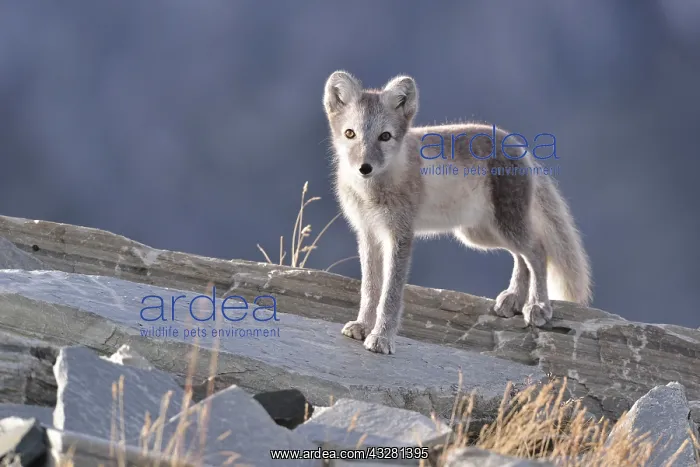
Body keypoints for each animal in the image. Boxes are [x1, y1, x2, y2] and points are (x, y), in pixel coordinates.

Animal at [322, 70, 592, 355]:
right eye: (350, 133)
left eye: (385, 136)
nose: (365, 168)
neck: (370, 193)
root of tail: (519, 145)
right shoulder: (368, 233)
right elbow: (370, 288)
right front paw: (362, 326)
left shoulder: (401, 235)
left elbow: (390, 294)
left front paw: (382, 338)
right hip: (481, 234)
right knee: (522, 257)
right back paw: (514, 300)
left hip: (503, 227)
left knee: (538, 252)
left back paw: (538, 306)